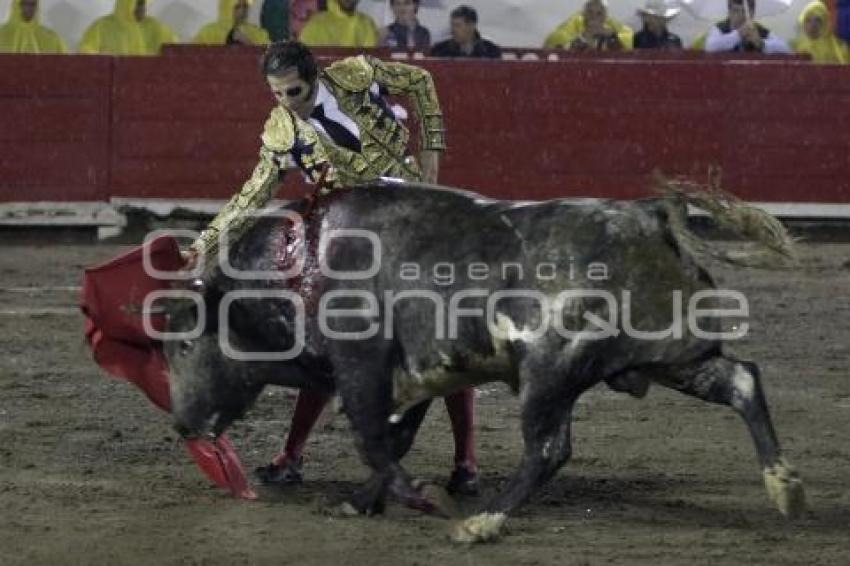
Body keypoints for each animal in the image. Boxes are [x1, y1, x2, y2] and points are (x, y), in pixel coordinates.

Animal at [162, 182, 804, 544]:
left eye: (183, 344)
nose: (181, 423)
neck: (301, 265)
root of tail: (649, 215)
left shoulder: (362, 363)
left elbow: (373, 437)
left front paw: (417, 497)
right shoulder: (415, 374)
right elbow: (393, 436)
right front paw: (363, 500)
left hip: (549, 372)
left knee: (547, 449)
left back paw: (483, 522)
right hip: (673, 355)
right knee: (743, 381)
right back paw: (785, 488)